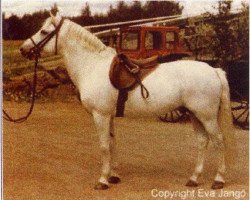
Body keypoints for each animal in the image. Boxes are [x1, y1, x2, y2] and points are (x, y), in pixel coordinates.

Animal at [20, 12, 235, 191]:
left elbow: (104, 146)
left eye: (44, 31)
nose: (23, 49)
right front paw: (113, 176)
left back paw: (218, 180)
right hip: (194, 114)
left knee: (218, 141)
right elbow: (112, 143)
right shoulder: (109, 116)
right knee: (202, 141)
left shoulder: (100, 115)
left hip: (206, 116)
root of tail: (214, 70)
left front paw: (103, 181)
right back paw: (194, 178)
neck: (92, 66)